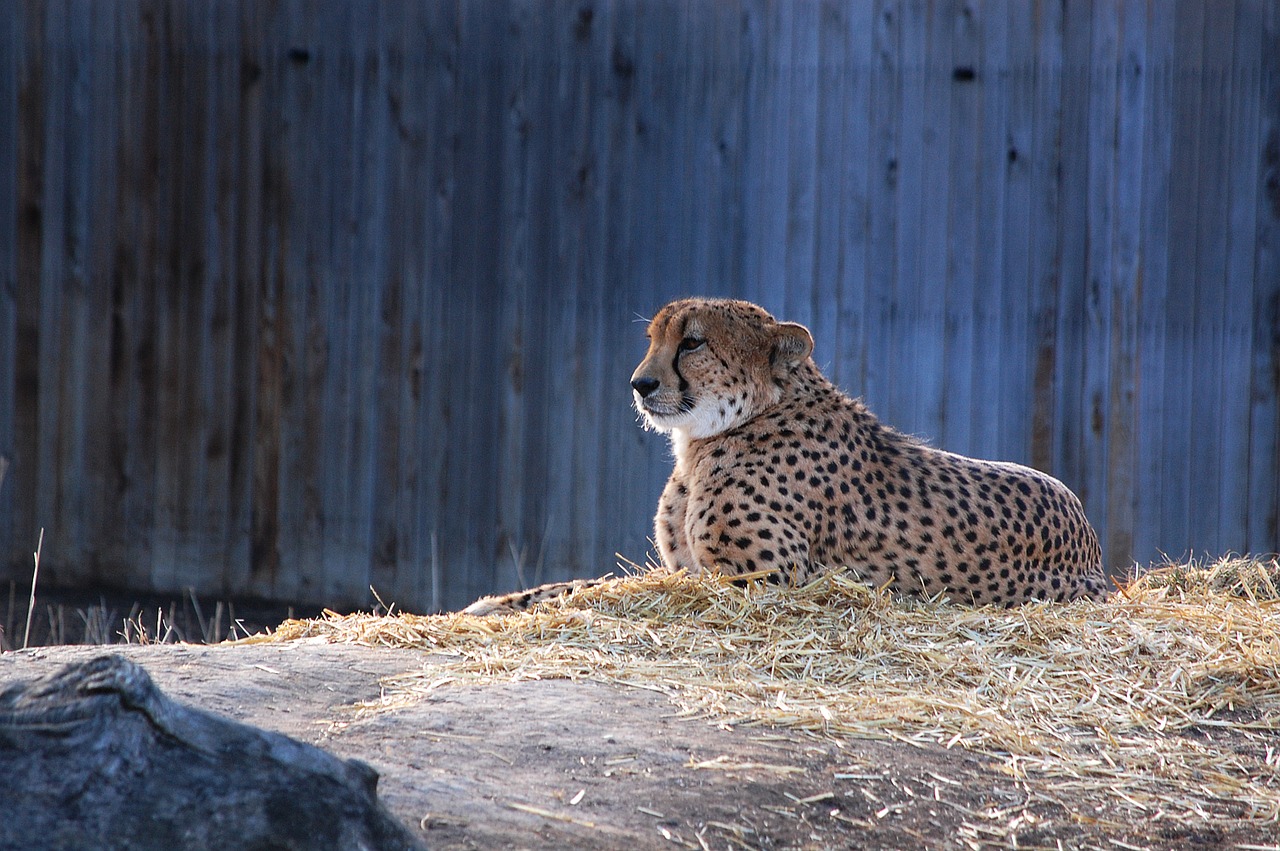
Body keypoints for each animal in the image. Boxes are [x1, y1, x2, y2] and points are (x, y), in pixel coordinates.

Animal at [463, 296, 1111, 611]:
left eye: (692, 342)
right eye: (653, 339)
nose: (639, 384)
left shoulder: (764, 579)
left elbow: (614, 590)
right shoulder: (693, 568)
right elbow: (588, 581)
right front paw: (498, 602)